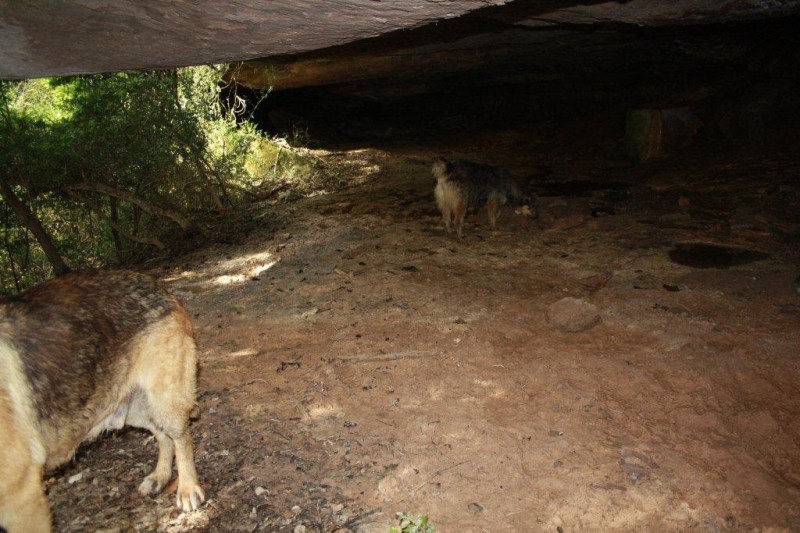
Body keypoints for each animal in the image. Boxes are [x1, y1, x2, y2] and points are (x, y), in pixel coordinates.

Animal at [0, 270, 206, 532]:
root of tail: (157, 284)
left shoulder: (24, 499)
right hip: (135, 406)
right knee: (162, 436)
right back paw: (160, 476)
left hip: (164, 399)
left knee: (181, 438)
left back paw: (188, 487)